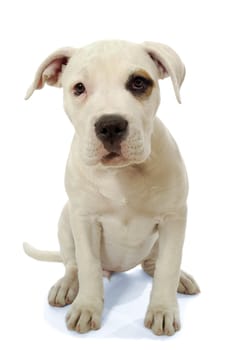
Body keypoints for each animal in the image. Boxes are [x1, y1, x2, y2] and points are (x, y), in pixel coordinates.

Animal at [24, 40, 201, 336]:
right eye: (79, 88)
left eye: (139, 82)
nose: (110, 125)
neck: (121, 174)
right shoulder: (84, 221)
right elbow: (88, 266)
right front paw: (87, 307)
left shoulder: (174, 218)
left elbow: (168, 266)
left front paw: (162, 310)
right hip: (65, 220)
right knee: (73, 264)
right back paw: (67, 285)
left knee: (154, 263)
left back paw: (180, 279)